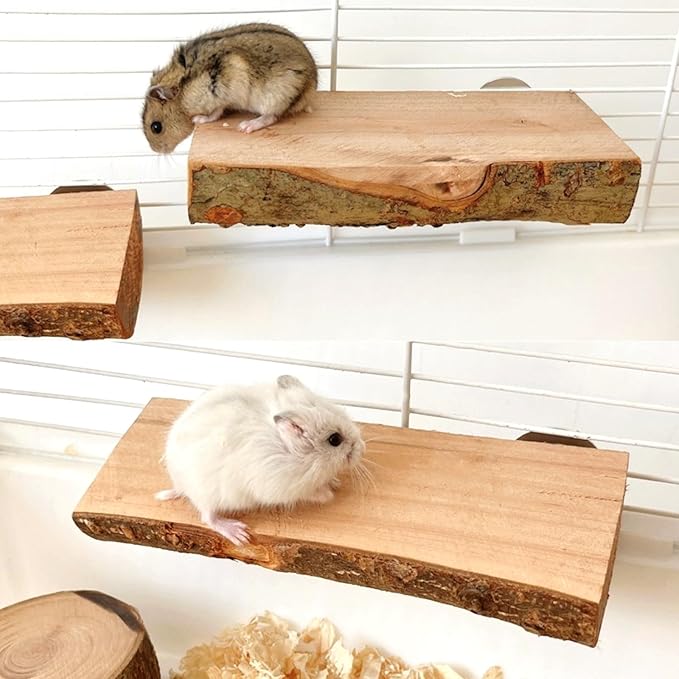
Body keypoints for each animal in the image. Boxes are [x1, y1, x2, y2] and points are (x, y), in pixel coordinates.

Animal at [142, 23, 318, 153]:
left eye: (156, 127)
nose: (156, 150)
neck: (183, 88)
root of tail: (311, 88)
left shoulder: (220, 97)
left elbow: (215, 113)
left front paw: (198, 119)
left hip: (275, 97)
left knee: (271, 117)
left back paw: (246, 126)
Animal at [155, 375, 366, 546]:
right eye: (335, 440)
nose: (362, 448)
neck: (295, 454)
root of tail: (179, 485)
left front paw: (335, 482)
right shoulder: (281, 488)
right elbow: (311, 493)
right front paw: (328, 495)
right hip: (207, 493)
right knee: (208, 517)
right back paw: (239, 534)